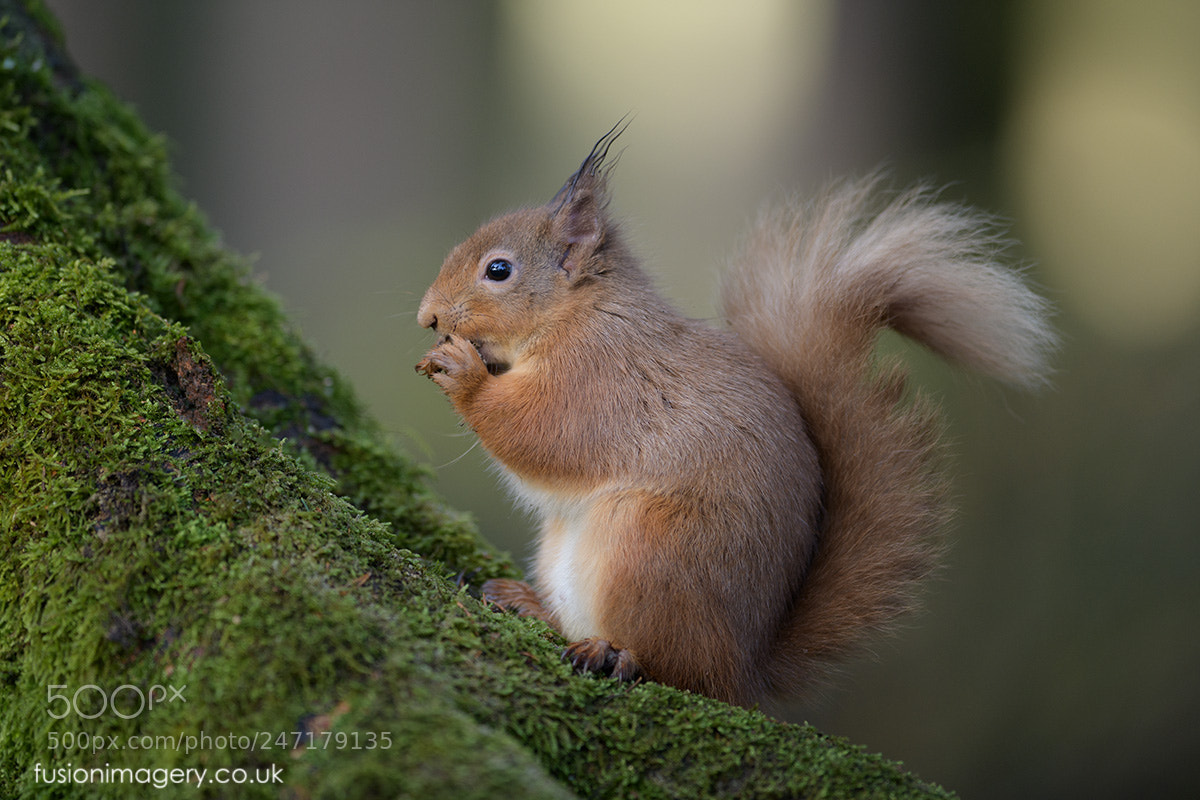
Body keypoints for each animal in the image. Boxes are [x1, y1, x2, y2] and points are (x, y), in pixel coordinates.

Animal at [415, 123, 1055, 706]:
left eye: (499, 270)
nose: (427, 317)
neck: (578, 311)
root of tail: (746, 669)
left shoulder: (600, 378)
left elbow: (543, 433)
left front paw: (462, 371)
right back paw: (529, 604)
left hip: (650, 549)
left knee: (680, 671)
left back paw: (614, 653)